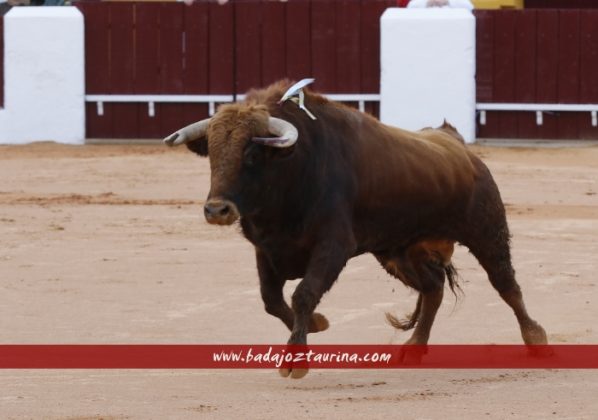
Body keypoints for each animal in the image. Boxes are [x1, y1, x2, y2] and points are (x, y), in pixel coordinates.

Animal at [164, 79, 548, 378]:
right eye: (213, 153)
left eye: (252, 154)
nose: (217, 210)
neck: (295, 168)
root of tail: (456, 145)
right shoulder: (266, 249)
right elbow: (272, 300)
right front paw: (316, 325)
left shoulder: (333, 245)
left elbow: (303, 293)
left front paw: (295, 360)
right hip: (398, 251)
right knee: (433, 287)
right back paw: (414, 346)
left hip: (487, 231)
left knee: (506, 285)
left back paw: (536, 339)